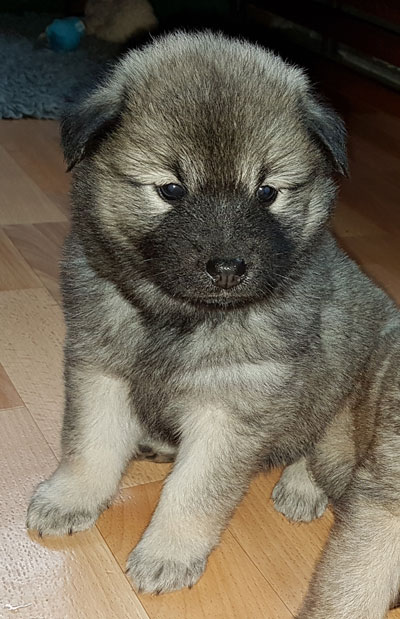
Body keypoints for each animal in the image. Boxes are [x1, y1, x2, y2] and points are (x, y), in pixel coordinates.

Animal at [27, 32, 400, 617]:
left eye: (267, 191)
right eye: (171, 190)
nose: (227, 268)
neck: (177, 317)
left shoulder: (230, 407)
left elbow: (192, 491)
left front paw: (167, 553)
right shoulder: (100, 369)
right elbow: (88, 445)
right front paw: (71, 498)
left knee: (322, 445)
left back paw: (301, 486)